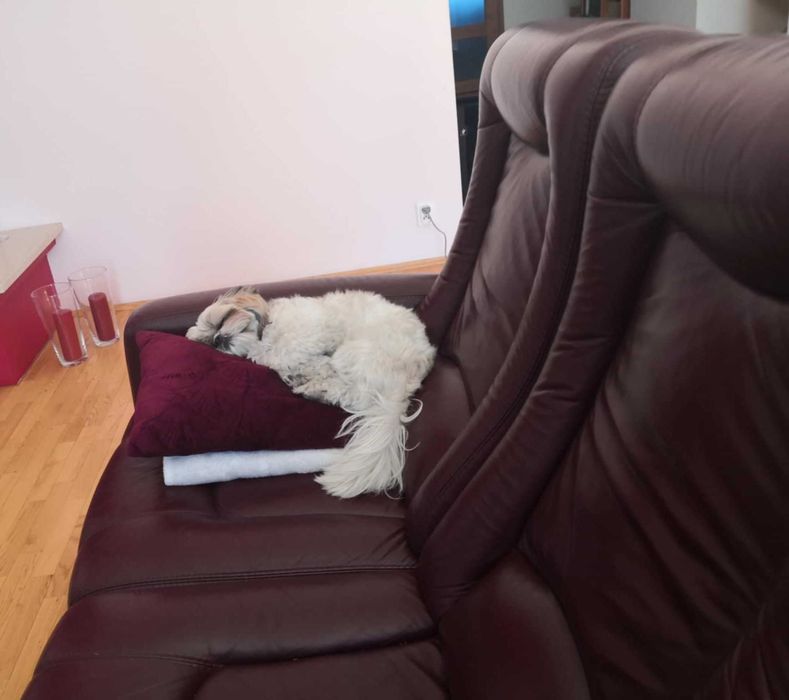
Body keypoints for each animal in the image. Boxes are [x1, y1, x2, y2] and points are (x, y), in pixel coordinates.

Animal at [186, 288, 436, 498]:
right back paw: (314, 388)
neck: (266, 332)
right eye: (209, 343)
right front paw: (299, 373)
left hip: (356, 352)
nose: (218, 338)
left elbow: (284, 353)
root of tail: (409, 375)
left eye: (221, 321)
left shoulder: (310, 335)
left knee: (354, 391)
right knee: (351, 394)